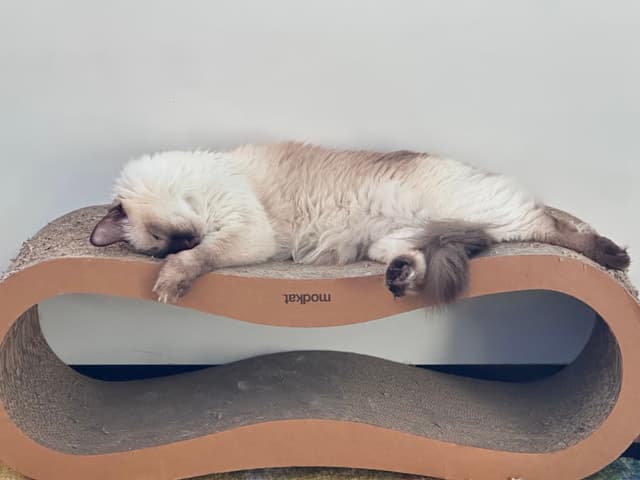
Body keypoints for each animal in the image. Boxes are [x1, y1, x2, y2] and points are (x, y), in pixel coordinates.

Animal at [89, 141, 632, 304]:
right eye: (159, 243)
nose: (187, 236)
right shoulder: (238, 236)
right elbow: (205, 254)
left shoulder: (244, 232)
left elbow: (203, 257)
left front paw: (171, 282)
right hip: (390, 241)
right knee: (421, 256)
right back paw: (399, 278)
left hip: (490, 212)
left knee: (553, 224)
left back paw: (616, 256)